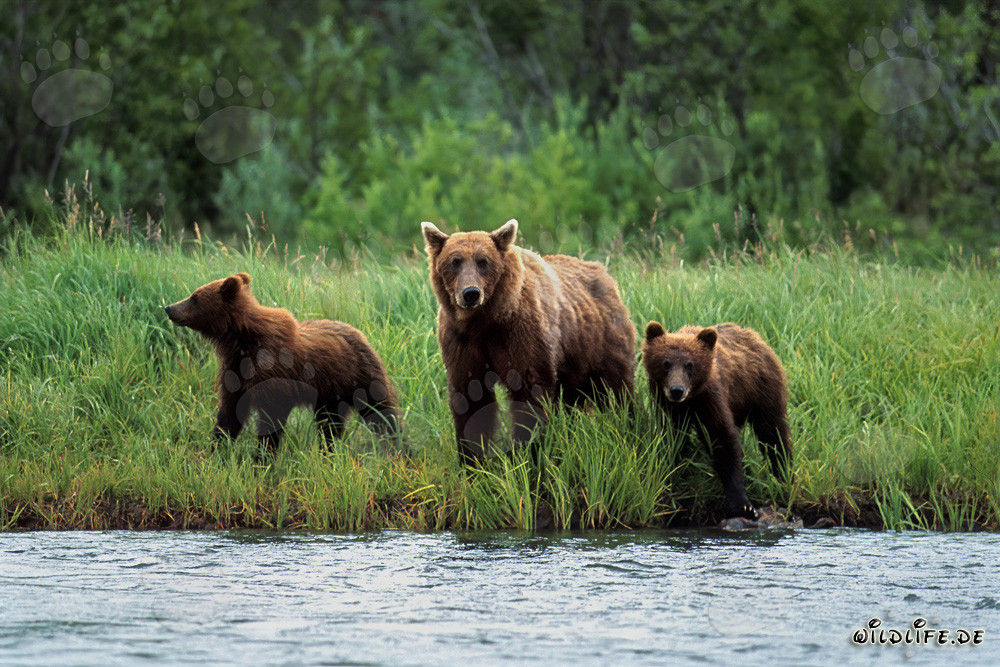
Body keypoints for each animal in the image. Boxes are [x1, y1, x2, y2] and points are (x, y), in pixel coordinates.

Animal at [165, 272, 400, 453]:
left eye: (194, 297)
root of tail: (361, 334)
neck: (241, 341)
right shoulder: (235, 373)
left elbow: (271, 419)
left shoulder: (273, 375)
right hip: (330, 393)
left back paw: (398, 448)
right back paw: (328, 451)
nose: (168, 307)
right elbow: (229, 414)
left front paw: (262, 458)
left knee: (381, 413)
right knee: (329, 424)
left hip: (360, 377)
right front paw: (216, 449)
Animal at [421, 218, 635, 465]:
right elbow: (471, 394)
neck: (486, 320)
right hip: (573, 362)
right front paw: (472, 459)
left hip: (600, 342)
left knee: (617, 388)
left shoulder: (521, 334)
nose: (471, 293)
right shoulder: (462, 341)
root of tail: (603, 273)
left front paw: (530, 453)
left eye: (483, 261)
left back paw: (630, 423)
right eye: (454, 262)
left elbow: (529, 391)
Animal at [641, 321, 792, 519]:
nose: (676, 390)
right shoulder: (668, 406)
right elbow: (674, 438)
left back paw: (784, 472)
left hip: (762, 389)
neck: (691, 400)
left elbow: (723, 439)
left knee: (772, 432)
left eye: (690, 365)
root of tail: (757, 338)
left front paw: (744, 505)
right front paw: (674, 468)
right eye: (665, 363)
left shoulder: (711, 398)